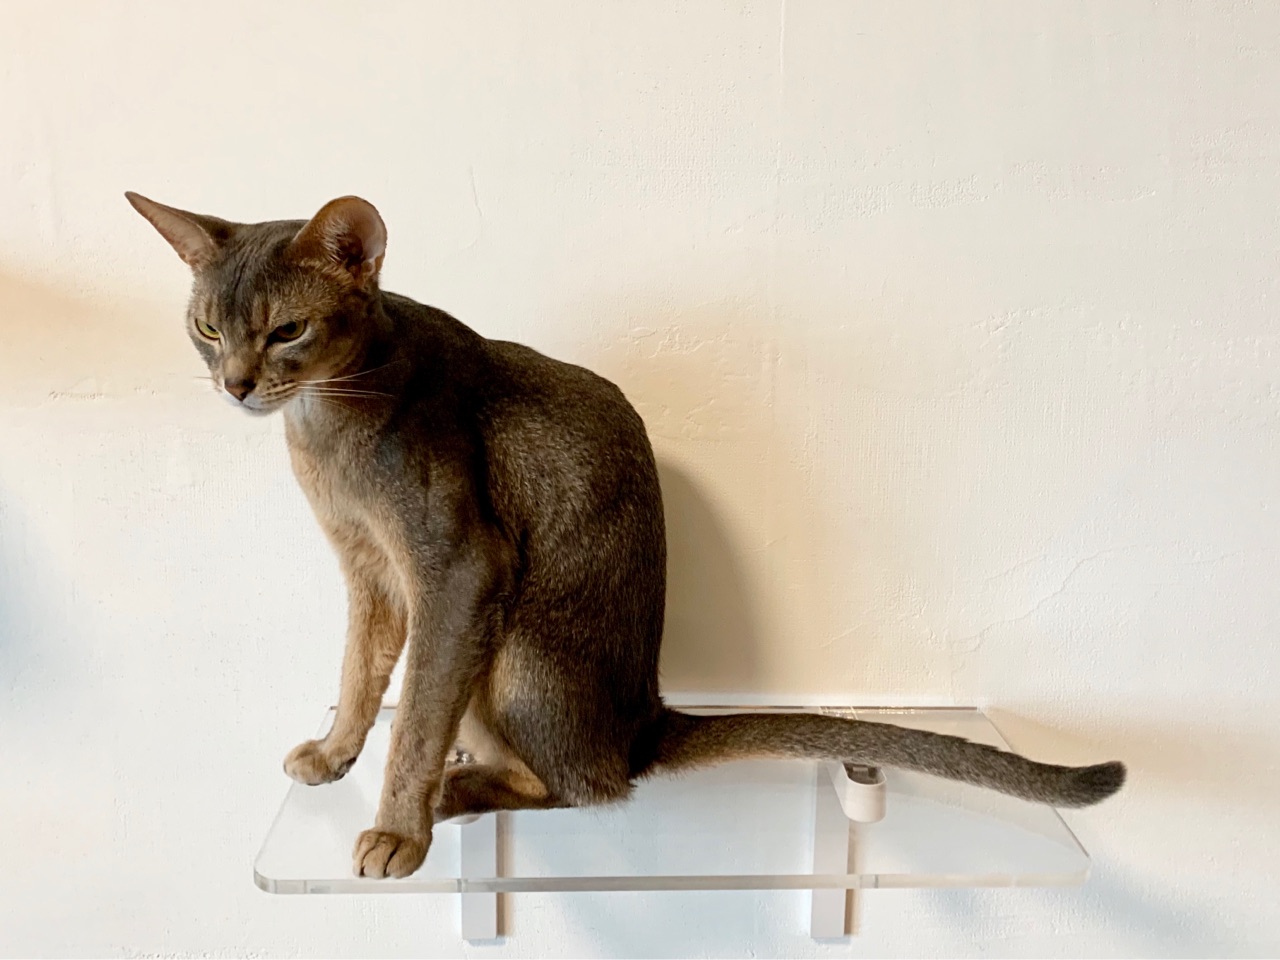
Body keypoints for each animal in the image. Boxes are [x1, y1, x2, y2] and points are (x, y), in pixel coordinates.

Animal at [127, 191, 1125, 880]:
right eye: (207, 328)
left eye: (288, 331)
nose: (236, 386)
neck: (326, 425)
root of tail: (648, 719)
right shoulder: (371, 572)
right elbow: (359, 673)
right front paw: (337, 753)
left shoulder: (455, 571)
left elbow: (411, 713)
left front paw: (396, 827)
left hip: (516, 645)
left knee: (584, 787)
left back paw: (458, 784)